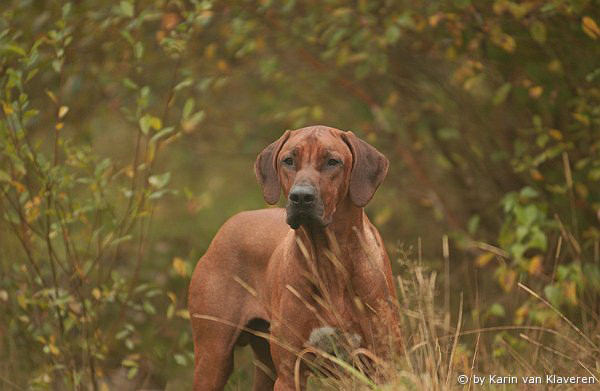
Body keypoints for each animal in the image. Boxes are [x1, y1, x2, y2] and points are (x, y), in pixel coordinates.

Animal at [190, 126, 400, 391]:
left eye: (332, 162)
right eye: (288, 160)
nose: (300, 197)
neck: (328, 259)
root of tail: (228, 225)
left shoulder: (383, 366)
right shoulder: (291, 373)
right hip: (213, 356)